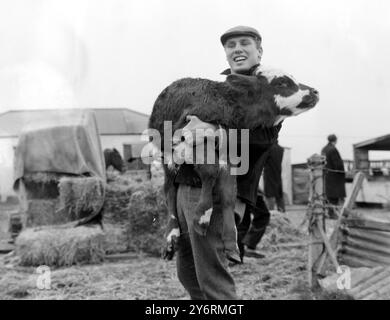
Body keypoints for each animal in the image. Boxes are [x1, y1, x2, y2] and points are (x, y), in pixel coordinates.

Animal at [148, 66, 318, 258]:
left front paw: (231, 241)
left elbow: (229, 194)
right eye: (282, 82)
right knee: (169, 189)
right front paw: (202, 215)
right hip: (165, 154)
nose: (315, 92)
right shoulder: (193, 135)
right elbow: (210, 172)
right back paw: (171, 236)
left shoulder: (230, 157)